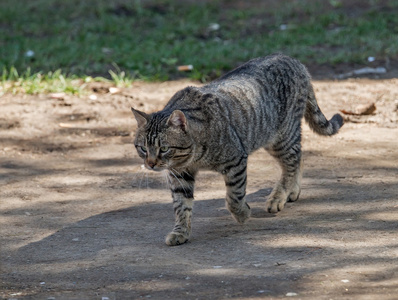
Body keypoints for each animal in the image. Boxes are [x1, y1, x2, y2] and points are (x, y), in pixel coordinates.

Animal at [132, 54, 344, 246]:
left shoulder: (236, 160)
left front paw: (242, 214)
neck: (193, 157)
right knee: (298, 156)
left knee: (291, 162)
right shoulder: (179, 175)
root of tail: (294, 61)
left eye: (164, 148)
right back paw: (293, 190)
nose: (150, 164)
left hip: (282, 137)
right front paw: (180, 231)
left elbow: (234, 196)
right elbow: (181, 205)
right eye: (142, 148)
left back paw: (279, 196)